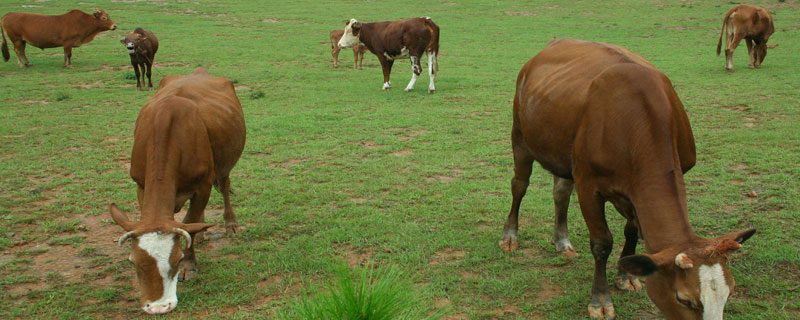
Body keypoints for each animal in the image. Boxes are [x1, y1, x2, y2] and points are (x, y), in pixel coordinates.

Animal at [109, 68, 245, 316]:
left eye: (177, 258)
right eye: (132, 262)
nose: (158, 307)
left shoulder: (203, 184)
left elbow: (189, 220)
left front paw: (189, 265)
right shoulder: (141, 185)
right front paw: (196, 235)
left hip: (224, 166)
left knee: (224, 187)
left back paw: (230, 223)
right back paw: (201, 233)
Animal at [500, 38, 756, 320]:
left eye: (730, 293)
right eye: (684, 299)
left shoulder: (637, 192)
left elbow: (631, 231)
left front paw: (626, 276)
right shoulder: (588, 185)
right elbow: (602, 242)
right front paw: (600, 299)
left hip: (561, 151)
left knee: (561, 192)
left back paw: (562, 242)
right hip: (520, 135)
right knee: (519, 185)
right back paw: (510, 236)